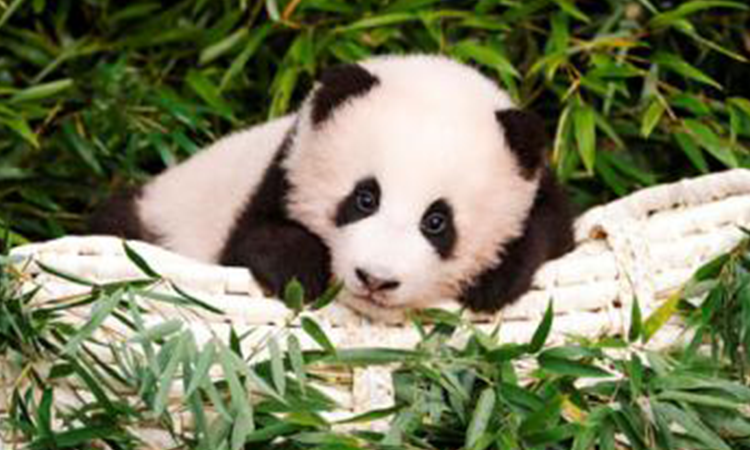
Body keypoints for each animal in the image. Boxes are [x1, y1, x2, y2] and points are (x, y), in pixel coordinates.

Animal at [90, 55, 574, 321]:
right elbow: (251, 240)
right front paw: (301, 272)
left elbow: (548, 231)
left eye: (437, 221)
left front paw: (494, 279)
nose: (376, 279)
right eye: (365, 198)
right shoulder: (278, 173)